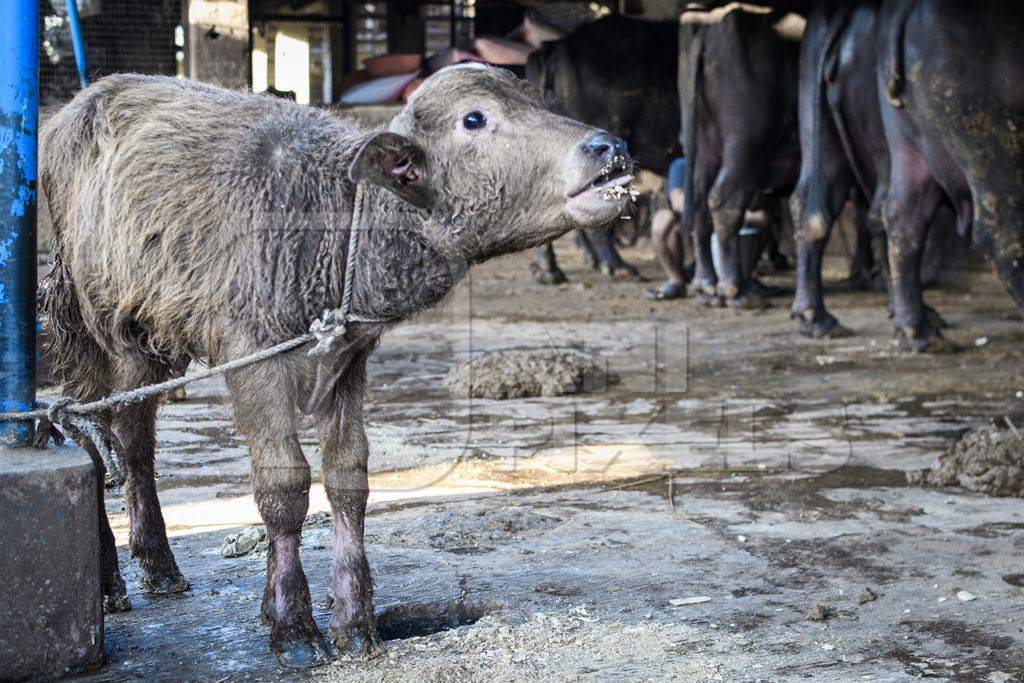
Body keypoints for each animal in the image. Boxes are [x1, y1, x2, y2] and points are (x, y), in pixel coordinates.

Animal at [679, 2, 806, 307]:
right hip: (748, 142)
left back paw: (707, 285)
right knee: (724, 200)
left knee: (700, 205)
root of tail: (709, 19)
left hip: (704, 151)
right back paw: (735, 288)